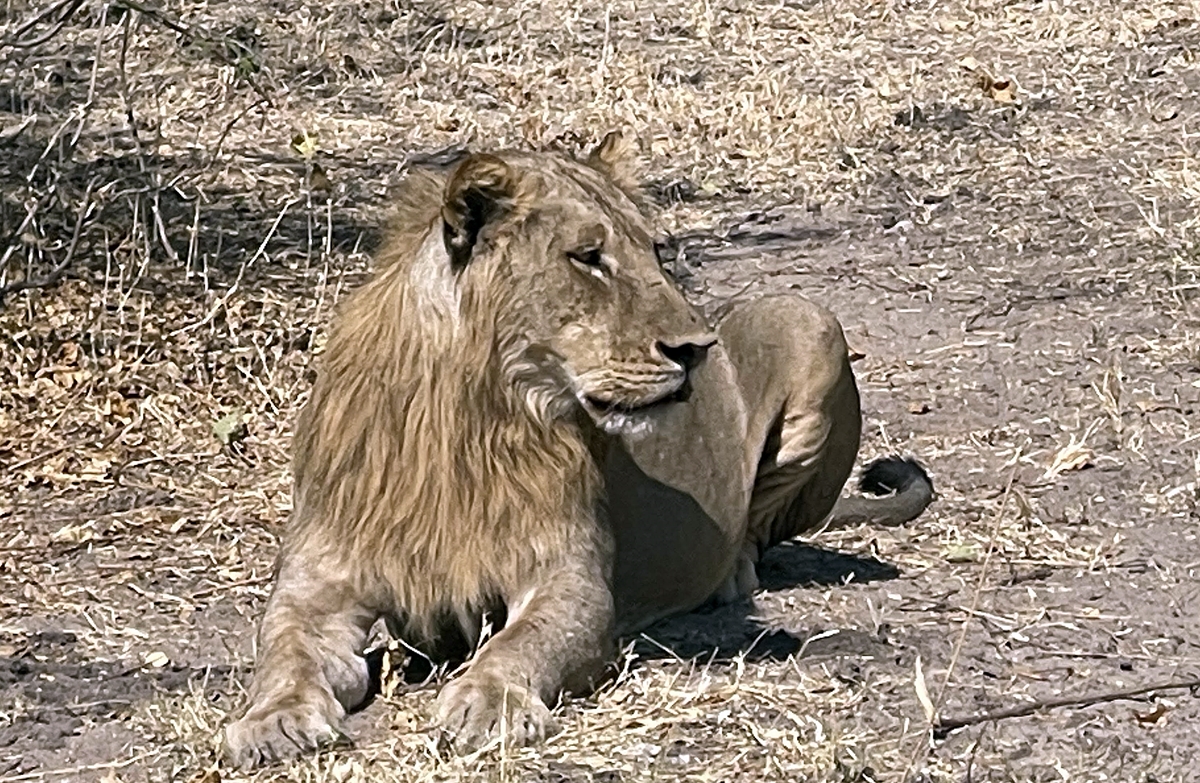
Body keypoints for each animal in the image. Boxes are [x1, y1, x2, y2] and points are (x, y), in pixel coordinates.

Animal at [225, 133, 936, 763]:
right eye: (588, 256)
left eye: (656, 251)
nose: (696, 349)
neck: (468, 416)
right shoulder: (317, 584)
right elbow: (282, 650)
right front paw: (272, 721)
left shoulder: (572, 583)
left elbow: (519, 646)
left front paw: (489, 703)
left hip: (809, 320)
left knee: (757, 534)